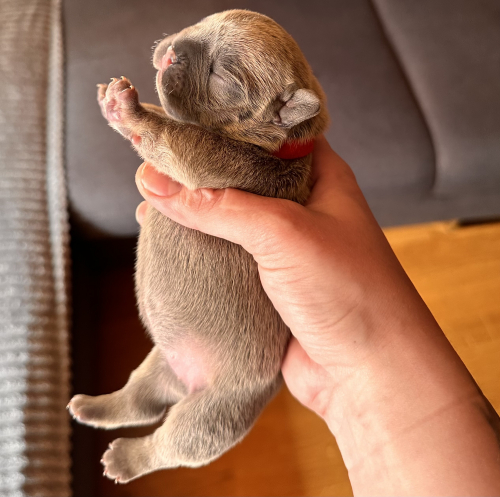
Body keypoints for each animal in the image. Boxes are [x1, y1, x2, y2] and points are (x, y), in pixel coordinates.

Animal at [68, 8, 330, 480]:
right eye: (202, 21)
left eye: (221, 76)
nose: (174, 51)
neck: (272, 141)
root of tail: (184, 382)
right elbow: (165, 120)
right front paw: (111, 101)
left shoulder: (210, 158)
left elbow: (170, 135)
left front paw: (128, 110)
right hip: (158, 363)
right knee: (138, 401)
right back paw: (94, 406)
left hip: (214, 415)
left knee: (169, 443)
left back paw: (124, 459)